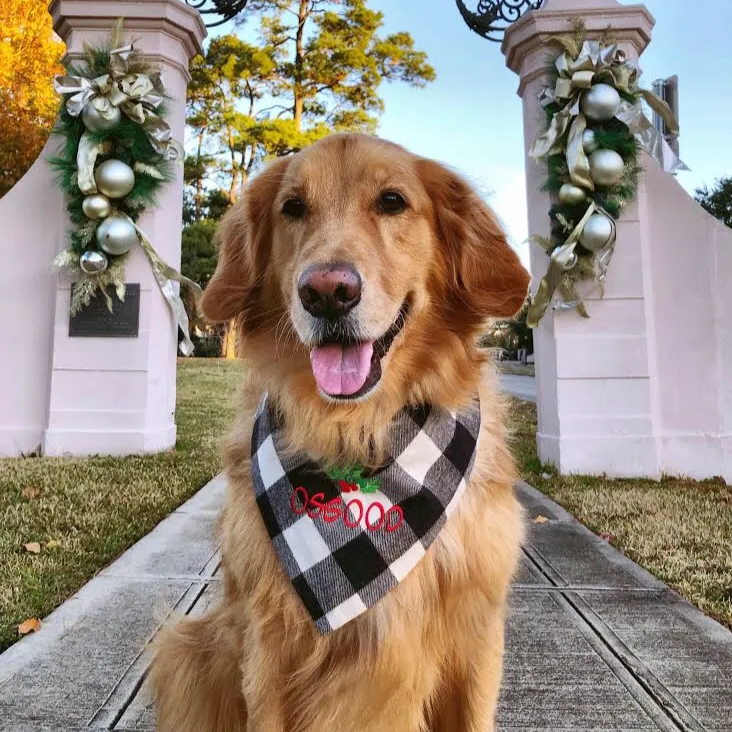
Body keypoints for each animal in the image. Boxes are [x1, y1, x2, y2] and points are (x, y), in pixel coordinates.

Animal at [154, 133, 532, 732]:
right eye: (292, 208)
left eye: (393, 201)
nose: (327, 292)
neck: (358, 434)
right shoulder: (268, 640)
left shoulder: (477, 634)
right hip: (192, 646)